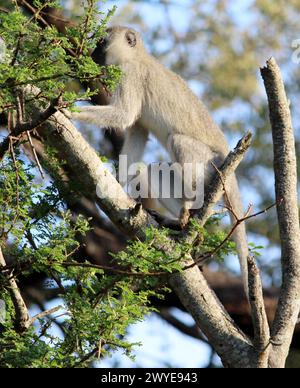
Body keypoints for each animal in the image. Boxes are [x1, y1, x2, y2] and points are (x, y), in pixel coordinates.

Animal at [69, 25, 248, 296]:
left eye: (101, 42)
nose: (92, 53)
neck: (137, 57)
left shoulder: (131, 76)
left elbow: (122, 115)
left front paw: (64, 109)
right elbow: (136, 132)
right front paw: (119, 181)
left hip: (208, 165)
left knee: (178, 142)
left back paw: (189, 208)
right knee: (152, 171)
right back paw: (181, 223)